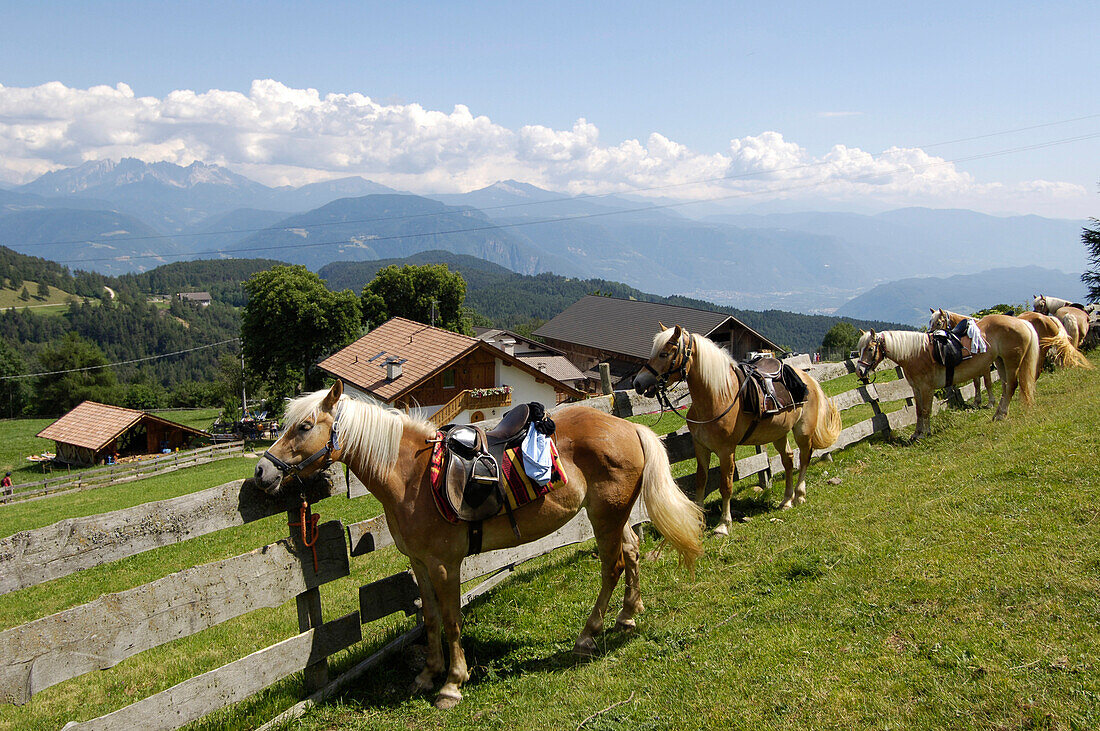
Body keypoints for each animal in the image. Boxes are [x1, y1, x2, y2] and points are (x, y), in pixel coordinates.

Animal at [253, 382, 704, 707]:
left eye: (304, 426)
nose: (261, 472)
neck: (409, 475)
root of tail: (630, 427)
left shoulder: (443, 564)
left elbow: (452, 620)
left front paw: (452, 683)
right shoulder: (419, 563)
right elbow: (430, 618)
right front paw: (427, 674)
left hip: (605, 517)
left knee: (612, 566)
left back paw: (587, 636)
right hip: (614, 515)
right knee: (631, 552)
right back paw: (628, 615)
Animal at [633, 327, 836, 534]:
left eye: (664, 354)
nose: (638, 383)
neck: (718, 396)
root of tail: (807, 378)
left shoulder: (726, 450)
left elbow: (726, 485)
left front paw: (723, 524)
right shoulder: (701, 448)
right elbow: (701, 480)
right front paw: (699, 520)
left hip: (802, 431)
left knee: (804, 458)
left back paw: (800, 495)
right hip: (778, 433)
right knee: (788, 460)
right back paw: (786, 500)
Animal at [853, 314, 1034, 439]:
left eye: (870, 349)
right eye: (859, 349)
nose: (860, 371)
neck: (914, 353)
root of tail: (1020, 322)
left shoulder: (927, 388)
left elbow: (926, 410)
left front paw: (924, 433)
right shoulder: (916, 389)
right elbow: (918, 411)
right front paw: (916, 433)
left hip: (1011, 362)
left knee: (1011, 386)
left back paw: (1001, 415)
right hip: (1001, 361)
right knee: (1006, 387)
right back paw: (998, 414)